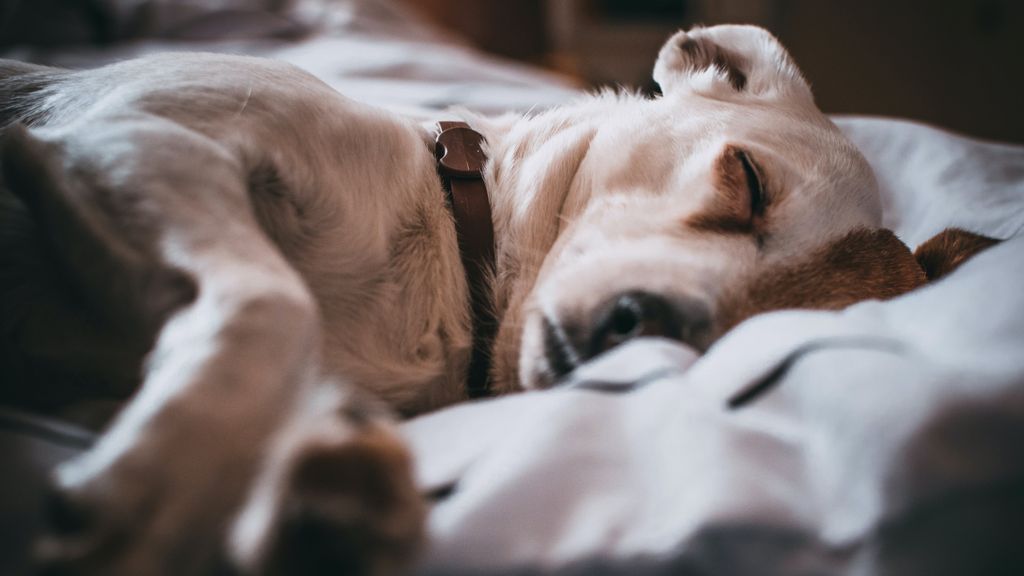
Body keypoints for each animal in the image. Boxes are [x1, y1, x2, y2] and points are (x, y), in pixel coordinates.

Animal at [0, 25, 991, 573]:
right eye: (746, 181)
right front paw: (158, 490)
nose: (642, 327)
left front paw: (323, 510)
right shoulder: (130, 138)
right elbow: (273, 305)